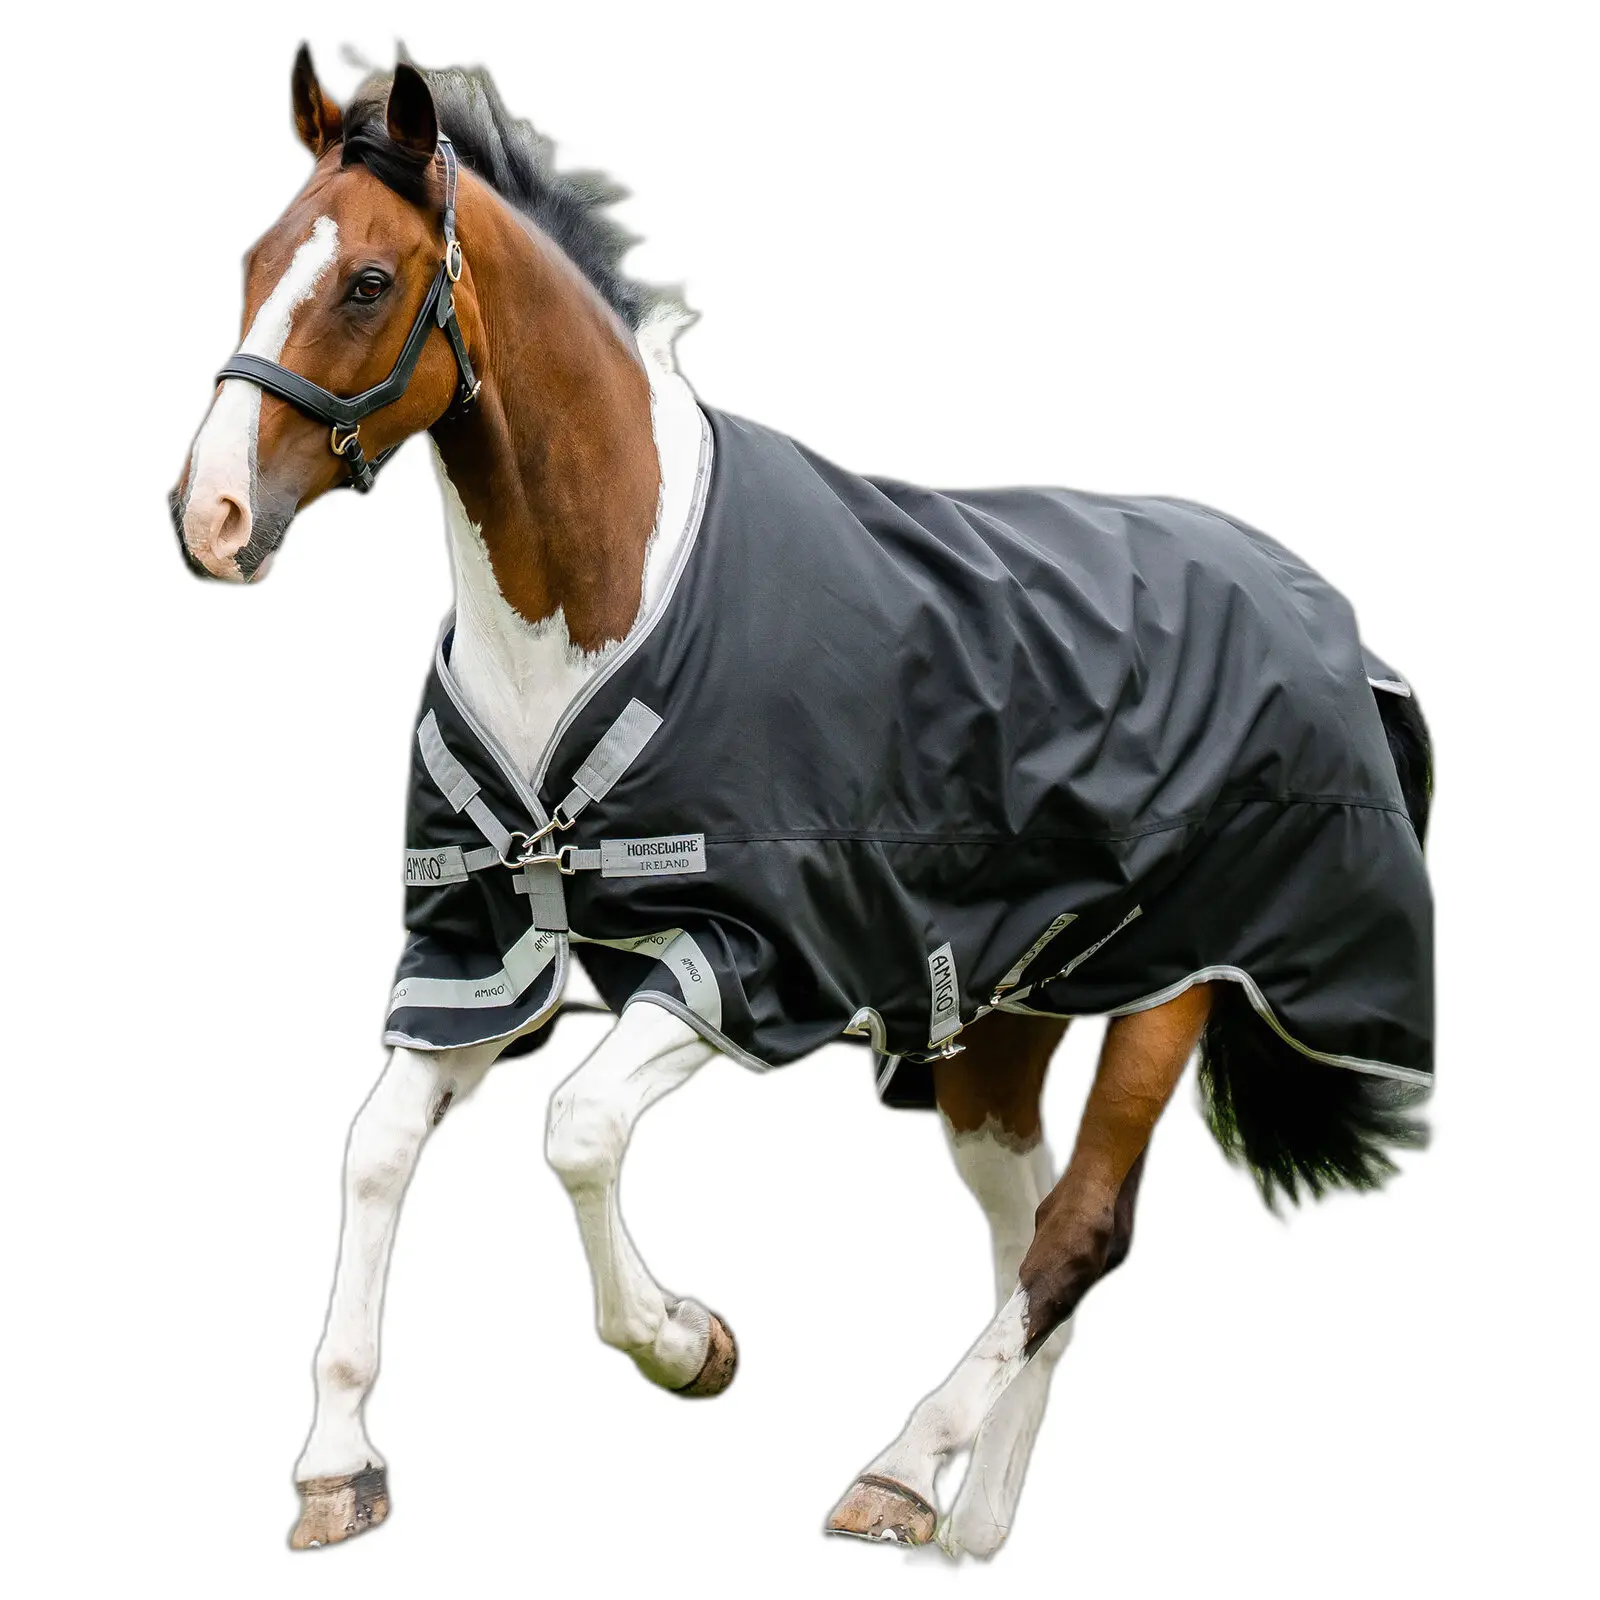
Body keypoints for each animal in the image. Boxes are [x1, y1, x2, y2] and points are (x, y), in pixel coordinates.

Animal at [170, 51, 1434, 1558]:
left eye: (366, 280)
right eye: (253, 260)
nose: (208, 518)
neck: (595, 607)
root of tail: (1327, 614)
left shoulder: (746, 958)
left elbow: (577, 1129)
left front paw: (683, 1343)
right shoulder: (482, 958)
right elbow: (374, 1151)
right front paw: (337, 1465)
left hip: (1178, 981)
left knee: (1080, 1233)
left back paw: (900, 1465)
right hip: (997, 1026)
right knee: (1028, 1242)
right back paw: (968, 1518)